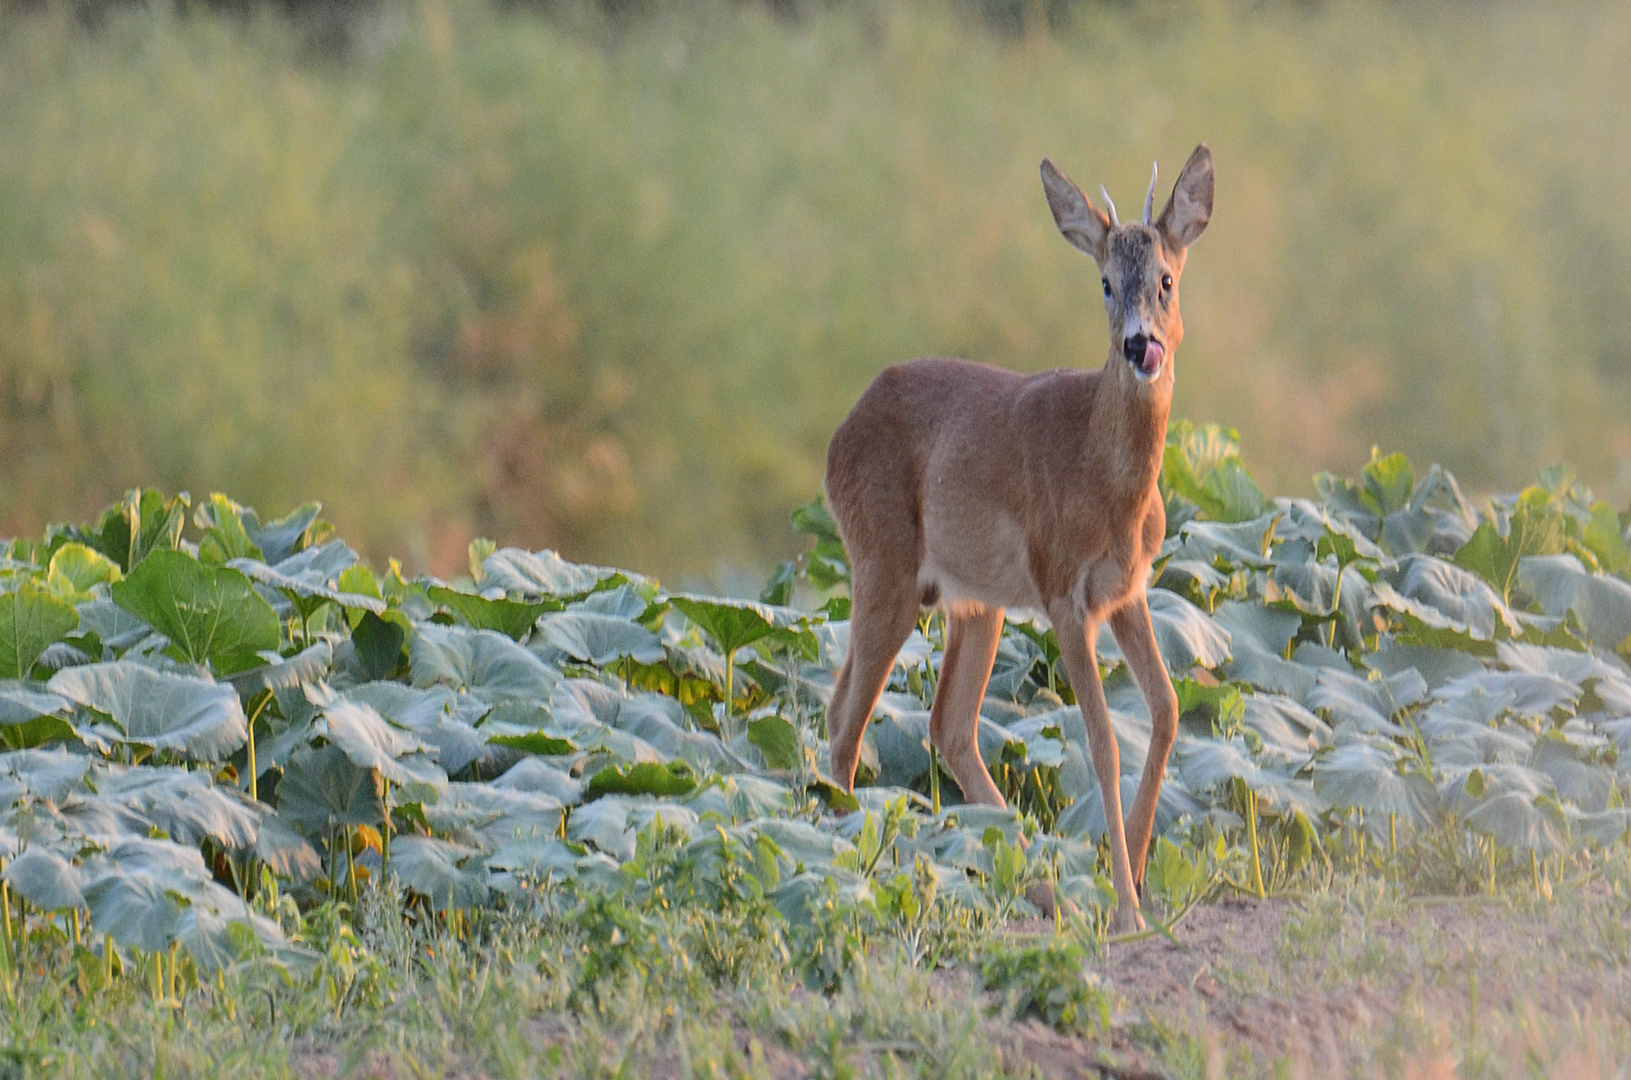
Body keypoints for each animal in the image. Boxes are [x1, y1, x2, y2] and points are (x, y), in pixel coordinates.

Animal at [828, 146, 1213, 939]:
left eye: (1166, 279)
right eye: (1104, 282)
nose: (1139, 344)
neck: (1107, 481)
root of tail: (833, 440)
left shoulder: (1127, 591)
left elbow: (1164, 712)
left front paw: (1132, 875)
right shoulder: (1063, 590)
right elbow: (1101, 742)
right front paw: (1125, 906)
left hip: (973, 602)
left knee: (943, 723)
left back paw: (1039, 883)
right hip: (883, 563)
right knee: (847, 723)